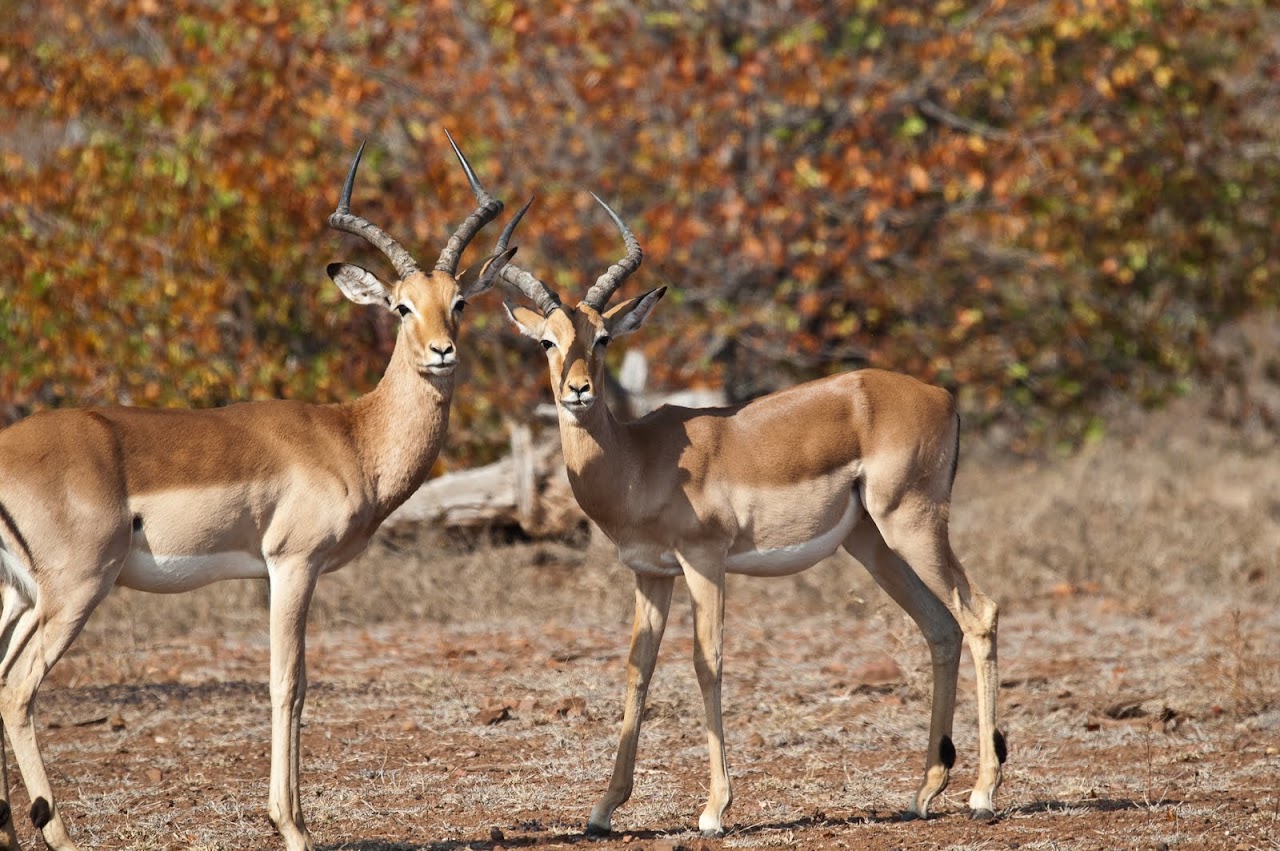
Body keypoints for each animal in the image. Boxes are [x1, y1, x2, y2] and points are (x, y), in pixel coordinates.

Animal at [0, 135, 515, 851]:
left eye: (458, 301)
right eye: (401, 306)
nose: (442, 352)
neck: (351, 436)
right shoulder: (292, 565)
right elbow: (287, 684)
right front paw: (292, 826)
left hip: (21, 597)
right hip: (74, 591)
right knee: (18, 690)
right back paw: (60, 836)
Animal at [496, 198, 1006, 836]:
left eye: (604, 338)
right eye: (547, 341)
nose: (578, 390)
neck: (639, 457)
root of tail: (944, 397)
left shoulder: (703, 561)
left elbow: (707, 662)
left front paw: (714, 809)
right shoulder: (652, 574)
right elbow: (639, 669)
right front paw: (603, 810)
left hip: (912, 524)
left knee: (979, 613)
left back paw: (983, 794)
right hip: (874, 544)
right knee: (940, 627)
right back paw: (924, 793)